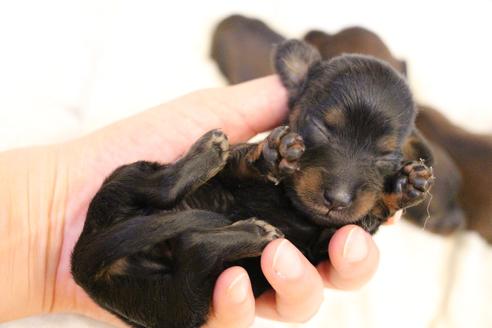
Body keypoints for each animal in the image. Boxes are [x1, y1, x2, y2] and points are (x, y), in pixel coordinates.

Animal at [71, 41, 432, 328]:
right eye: (320, 128)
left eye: (386, 156)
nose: (337, 199)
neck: (293, 206)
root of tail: (85, 269)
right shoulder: (238, 167)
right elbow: (244, 163)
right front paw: (274, 154)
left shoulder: (332, 241)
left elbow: (363, 216)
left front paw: (405, 184)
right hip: (126, 181)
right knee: (164, 193)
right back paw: (213, 165)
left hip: (178, 302)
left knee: (192, 247)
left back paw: (249, 229)